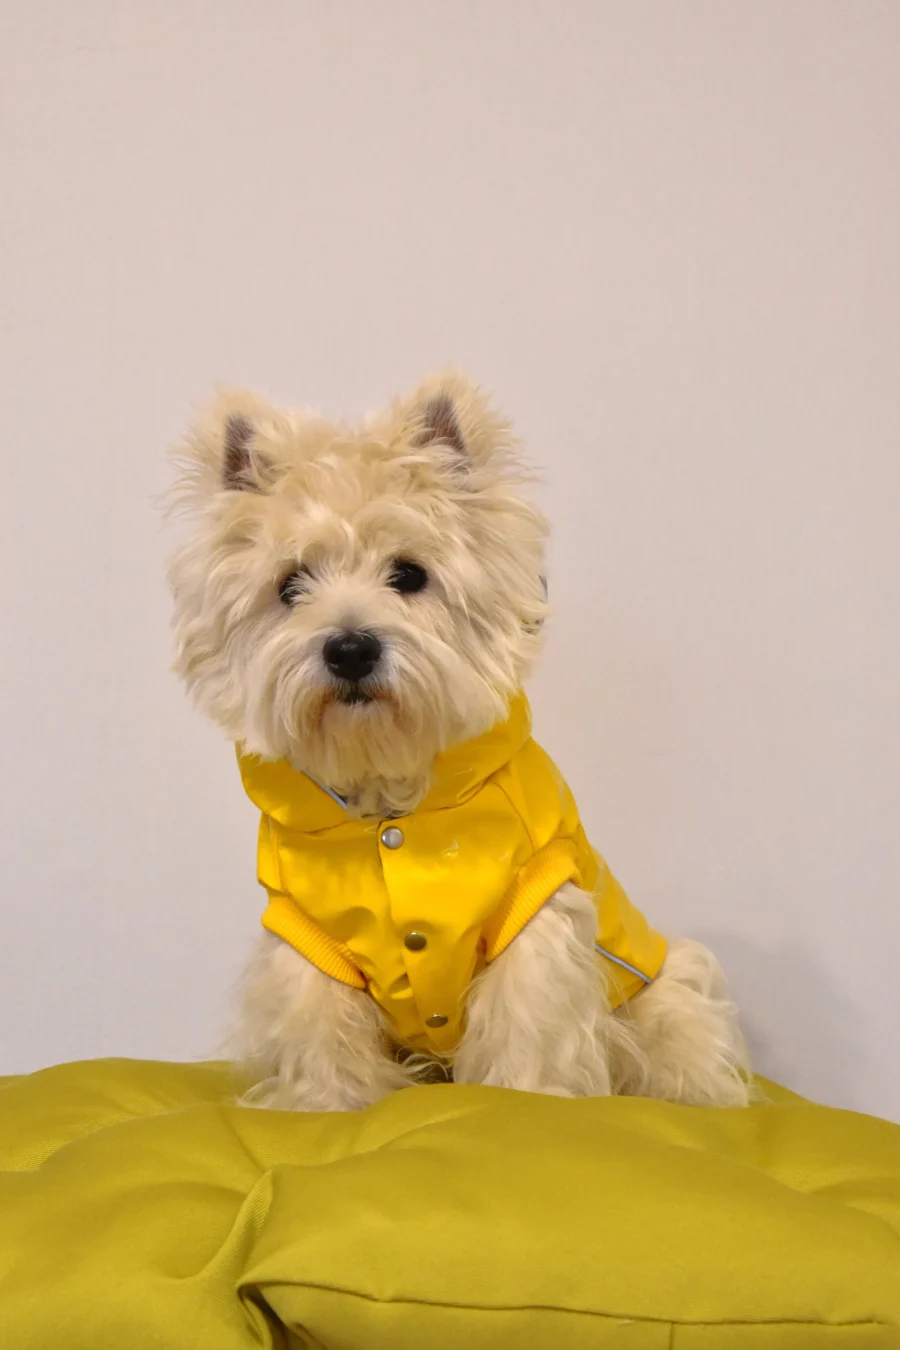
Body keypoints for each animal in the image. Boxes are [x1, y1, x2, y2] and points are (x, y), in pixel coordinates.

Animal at [168, 367, 755, 1107]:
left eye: (409, 574)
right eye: (290, 584)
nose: (350, 648)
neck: (390, 800)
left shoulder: (533, 919)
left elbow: (527, 1027)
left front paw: (521, 1100)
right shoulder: (307, 942)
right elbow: (320, 1033)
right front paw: (325, 1106)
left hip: (663, 999)